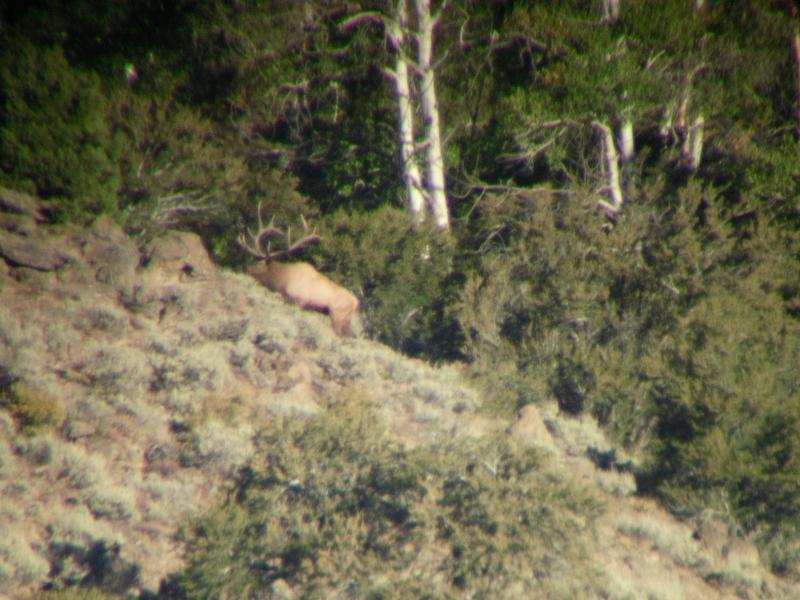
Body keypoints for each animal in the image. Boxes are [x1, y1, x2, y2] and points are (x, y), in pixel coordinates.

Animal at [238, 204, 360, 338]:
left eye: (259, 263)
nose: (245, 269)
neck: (282, 280)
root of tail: (356, 302)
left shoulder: (300, 299)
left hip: (336, 314)